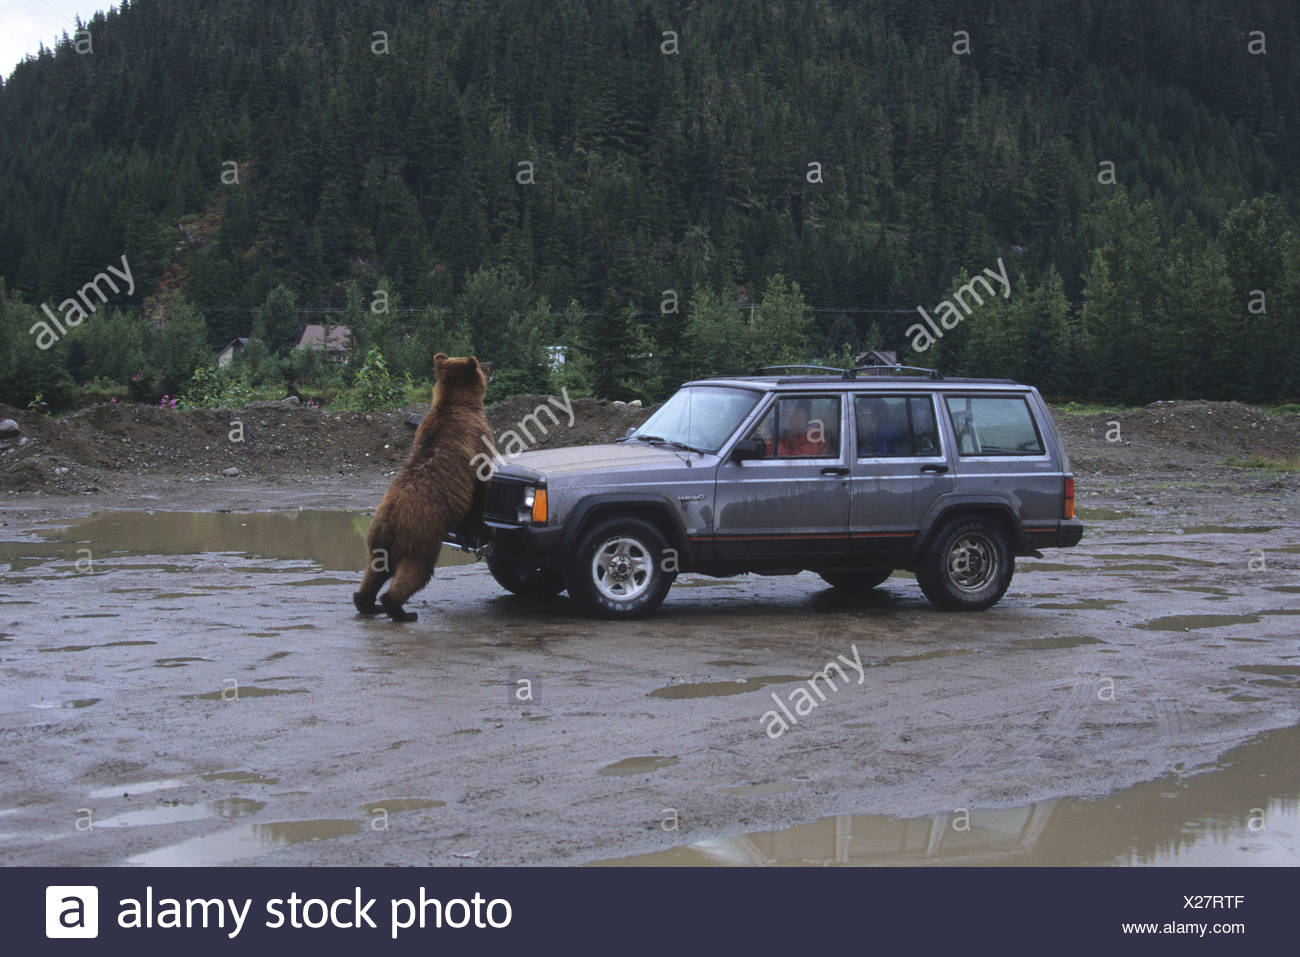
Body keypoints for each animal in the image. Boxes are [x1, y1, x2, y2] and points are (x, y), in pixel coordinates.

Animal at [353, 354, 494, 622]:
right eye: (481, 364)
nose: (491, 365)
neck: (458, 403)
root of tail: (389, 520)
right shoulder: (478, 437)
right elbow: (484, 477)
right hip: (421, 536)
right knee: (416, 571)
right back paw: (399, 609)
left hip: (377, 539)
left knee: (375, 570)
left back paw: (366, 603)